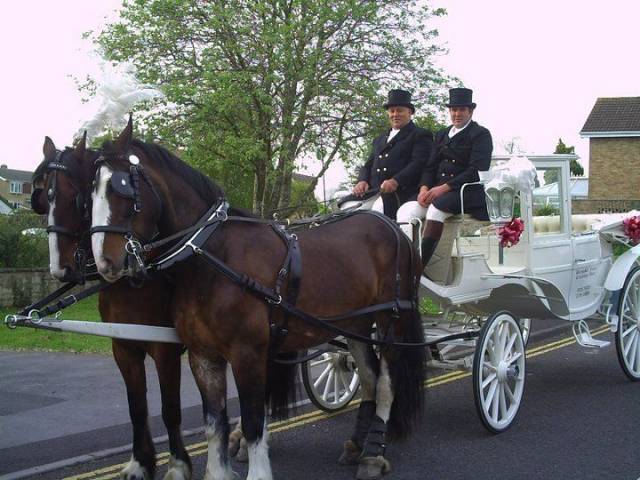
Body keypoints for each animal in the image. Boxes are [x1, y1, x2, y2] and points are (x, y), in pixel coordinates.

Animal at [31, 135, 192, 480]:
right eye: (44, 200)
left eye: (76, 200)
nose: (59, 270)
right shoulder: (124, 346)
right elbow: (137, 407)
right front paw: (141, 462)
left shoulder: (166, 349)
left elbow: (170, 408)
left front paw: (177, 464)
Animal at [90, 117, 427, 480]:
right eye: (91, 191)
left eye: (122, 187)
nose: (104, 263)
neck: (213, 255)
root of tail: (391, 226)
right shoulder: (203, 356)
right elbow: (215, 424)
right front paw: (218, 471)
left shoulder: (247, 353)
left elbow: (253, 423)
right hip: (356, 325)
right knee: (368, 378)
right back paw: (356, 446)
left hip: (391, 320)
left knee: (386, 385)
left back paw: (373, 455)